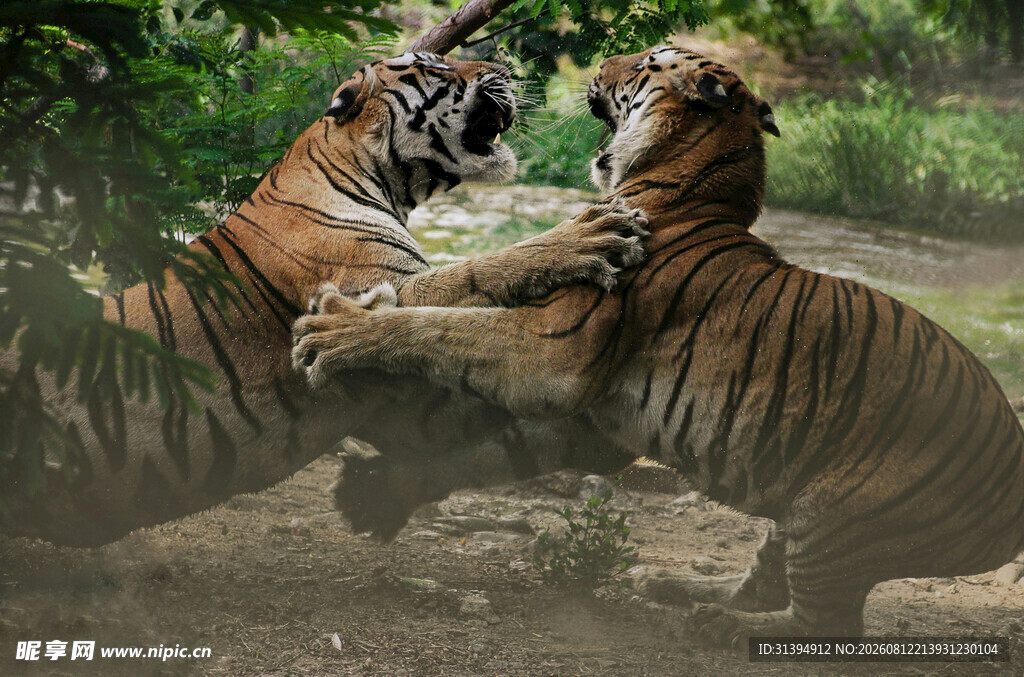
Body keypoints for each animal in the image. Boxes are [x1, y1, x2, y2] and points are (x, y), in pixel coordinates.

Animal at [0, 52, 649, 547]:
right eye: (437, 64)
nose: (505, 67)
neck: (378, 178)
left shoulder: (407, 410)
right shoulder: (382, 296)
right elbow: (474, 276)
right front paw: (590, 234)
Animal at [292, 46, 1024, 642]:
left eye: (645, 62)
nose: (600, 62)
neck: (687, 184)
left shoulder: (556, 352)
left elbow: (439, 324)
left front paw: (335, 330)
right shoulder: (597, 418)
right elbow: (493, 449)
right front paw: (378, 494)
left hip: (837, 518)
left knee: (828, 622)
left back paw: (717, 623)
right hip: (793, 513)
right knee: (763, 580)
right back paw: (672, 584)